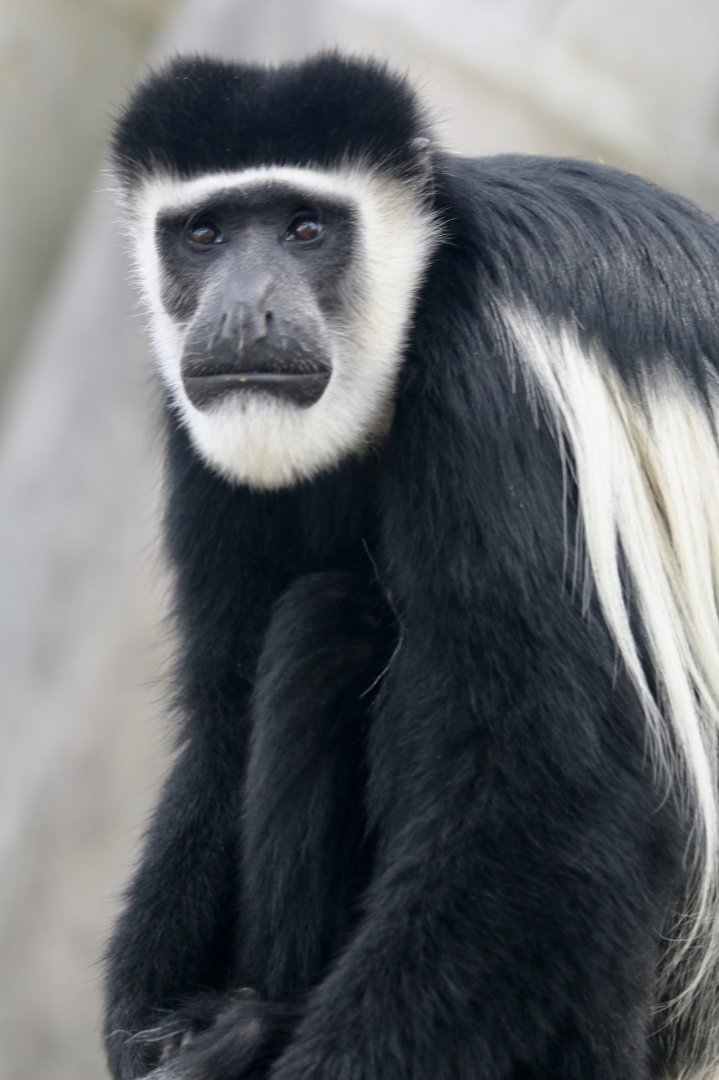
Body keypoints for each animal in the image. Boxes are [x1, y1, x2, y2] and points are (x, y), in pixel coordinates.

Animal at [104, 53, 719, 1080]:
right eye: (205, 233)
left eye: (306, 228)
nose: (245, 312)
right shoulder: (203, 428)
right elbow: (224, 707)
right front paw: (150, 1022)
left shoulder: (500, 391)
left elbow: (551, 802)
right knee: (320, 627)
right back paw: (245, 1024)